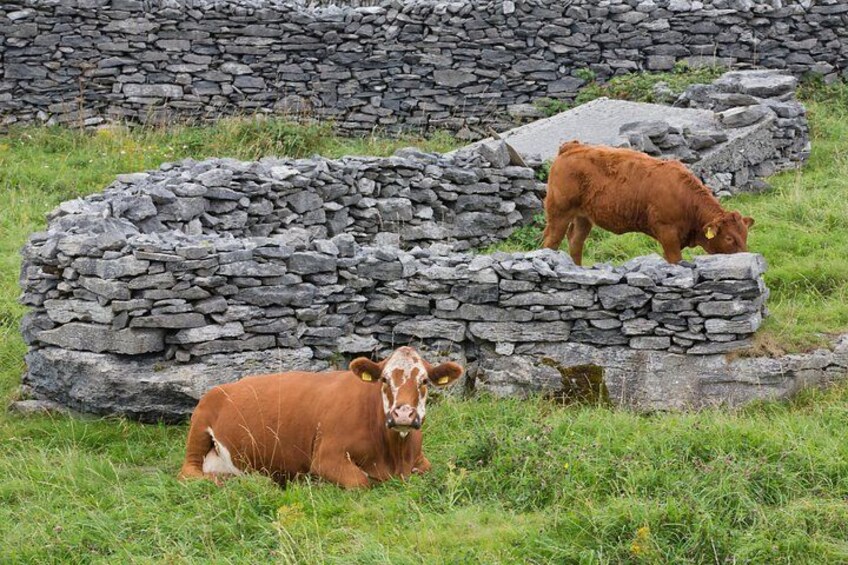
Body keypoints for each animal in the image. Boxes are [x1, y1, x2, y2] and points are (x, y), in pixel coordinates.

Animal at [178, 346, 464, 489]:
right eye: (384, 379)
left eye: (424, 381)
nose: (403, 413)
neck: (394, 456)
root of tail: (221, 387)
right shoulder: (326, 457)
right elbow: (361, 481)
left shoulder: (420, 460)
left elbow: (429, 470)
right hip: (199, 426)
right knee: (188, 472)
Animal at [541, 140, 754, 264]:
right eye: (729, 238)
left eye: (745, 235)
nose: (747, 257)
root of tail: (573, 146)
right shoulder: (667, 234)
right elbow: (675, 261)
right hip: (559, 212)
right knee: (550, 243)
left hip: (583, 217)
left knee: (575, 242)